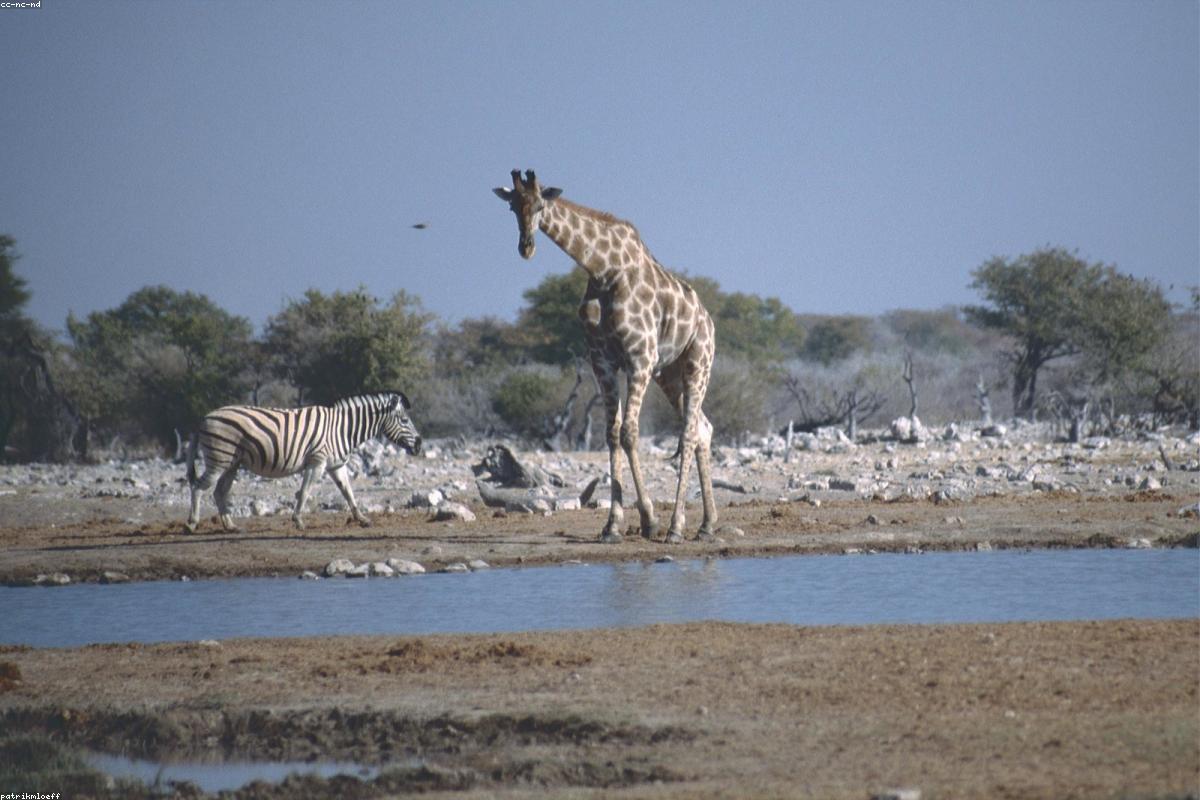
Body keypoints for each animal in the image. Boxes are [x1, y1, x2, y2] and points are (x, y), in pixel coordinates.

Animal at [185, 391, 422, 533]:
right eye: (404, 420)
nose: (419, 445)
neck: (342, 429)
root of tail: (204, 418)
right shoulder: (317, 461)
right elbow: (306, 491)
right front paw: (298, 520)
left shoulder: (336, 465)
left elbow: (348, 492)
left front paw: (362, 519)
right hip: (219, 459)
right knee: (198, 487)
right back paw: (192, 524)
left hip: (231, 464)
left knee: (218, 492)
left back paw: (231, 526)